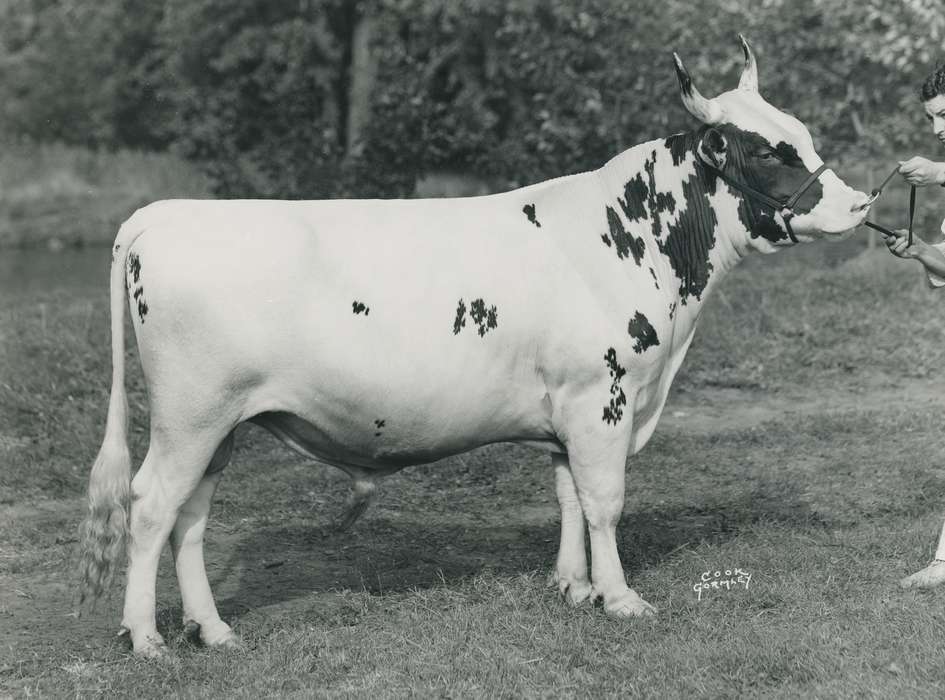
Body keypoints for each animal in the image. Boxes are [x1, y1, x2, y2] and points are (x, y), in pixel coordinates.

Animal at [78, 37, 870, 658]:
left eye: (801, 133)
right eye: (768, 150)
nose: (861, 203)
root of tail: (163, 215)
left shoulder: (569, 406)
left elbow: (568, 495)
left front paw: (572, 586)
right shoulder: (602, 398)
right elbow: (605, 501)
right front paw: (619, 598)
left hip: (221, 424)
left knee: (191, 517)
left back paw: (212, 631)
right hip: (191, 414)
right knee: (152, 507)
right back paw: (145, 637)